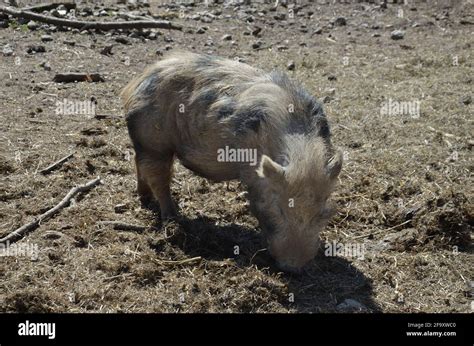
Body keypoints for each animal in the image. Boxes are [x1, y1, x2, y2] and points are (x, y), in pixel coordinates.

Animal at [121, 51, 344, 274]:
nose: (292, 268)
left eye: (323, 210)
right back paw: (172, 218)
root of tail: (136, 84)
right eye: (279, 208)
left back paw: (145, 197)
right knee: (158, 179)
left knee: (139, 164)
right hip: (154, 141)